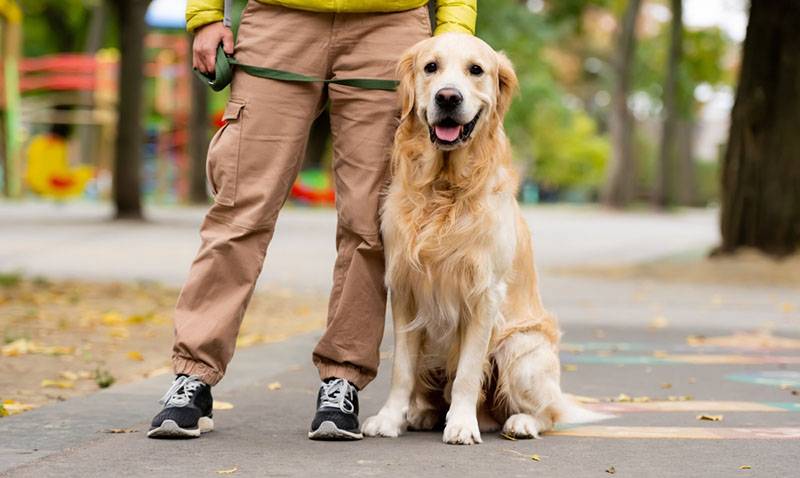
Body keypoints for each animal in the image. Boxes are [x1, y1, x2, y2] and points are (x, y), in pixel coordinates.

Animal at [360, 32, 604, 444]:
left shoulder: (484, 294)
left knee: (548, 413)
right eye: (431, 67)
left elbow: (468, 372)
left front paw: (461, 424)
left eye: (476, 70)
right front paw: (390, 418)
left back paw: (517, 422)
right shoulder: (406, 288)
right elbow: (401, 370)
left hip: (521, 348)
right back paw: (424, 414)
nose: (448, 97)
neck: (445, 188)